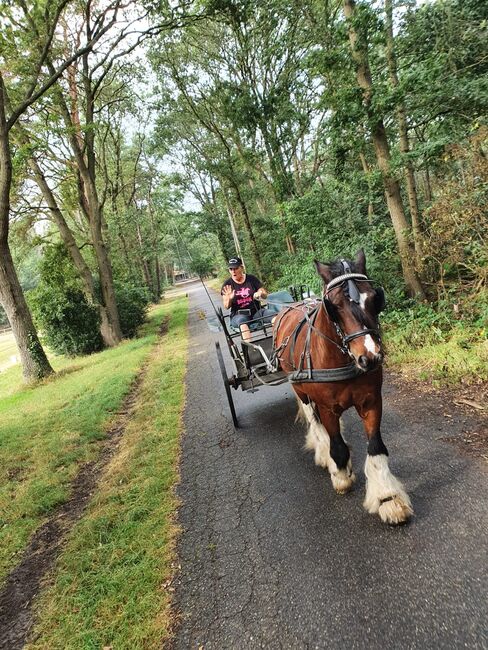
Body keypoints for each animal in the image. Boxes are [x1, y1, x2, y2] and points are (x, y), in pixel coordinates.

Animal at [272, 246, 414, 524]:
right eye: (334, 305)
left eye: (374, 298)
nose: (370, 357)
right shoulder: (328, 407)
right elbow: (335, 442)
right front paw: (340, 474)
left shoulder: (371, 401)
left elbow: (376, 447)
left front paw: (387, 498)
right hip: (300, 388)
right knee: (313, 418)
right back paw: (322, 452)